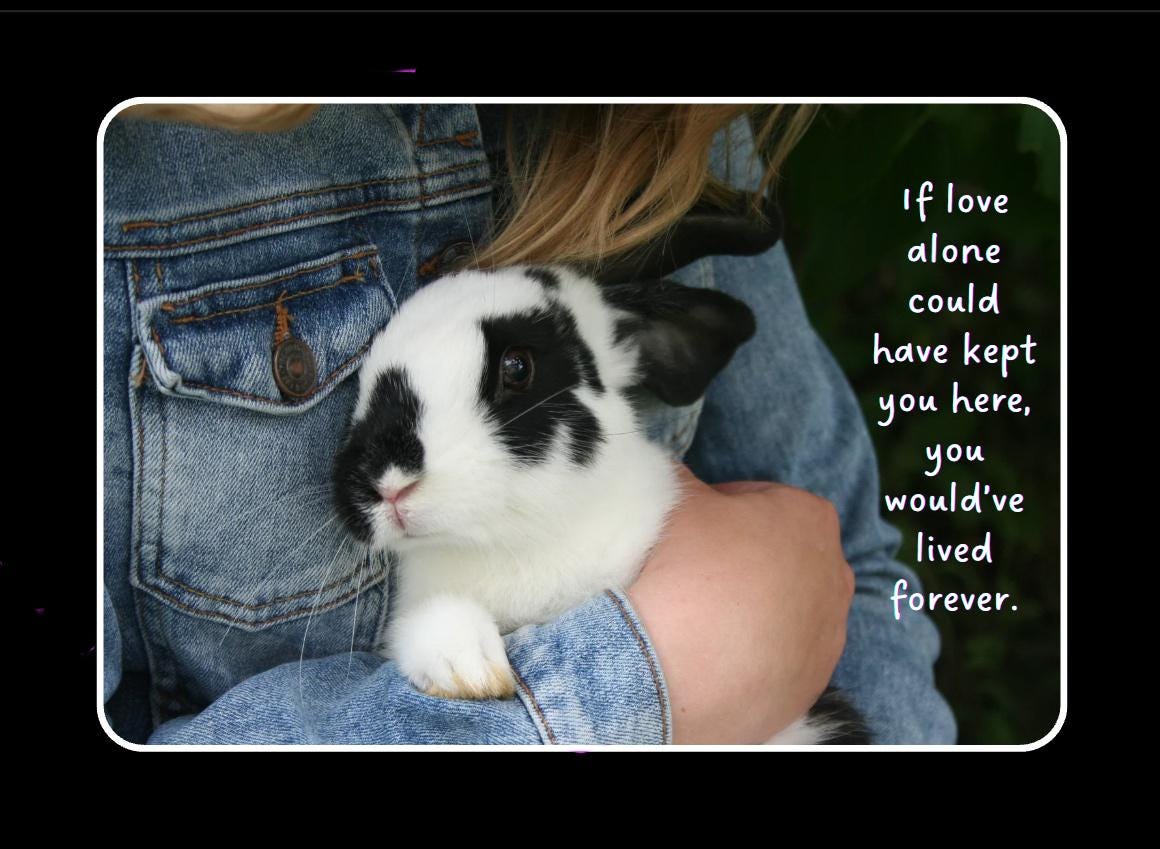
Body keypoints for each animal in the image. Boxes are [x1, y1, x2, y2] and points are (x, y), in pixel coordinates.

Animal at [331, 264, 870, 745]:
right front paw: (470, 670)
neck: (517, 541)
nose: (386, 483)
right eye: (363, 383)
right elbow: (431, 622)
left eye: (517, 367)